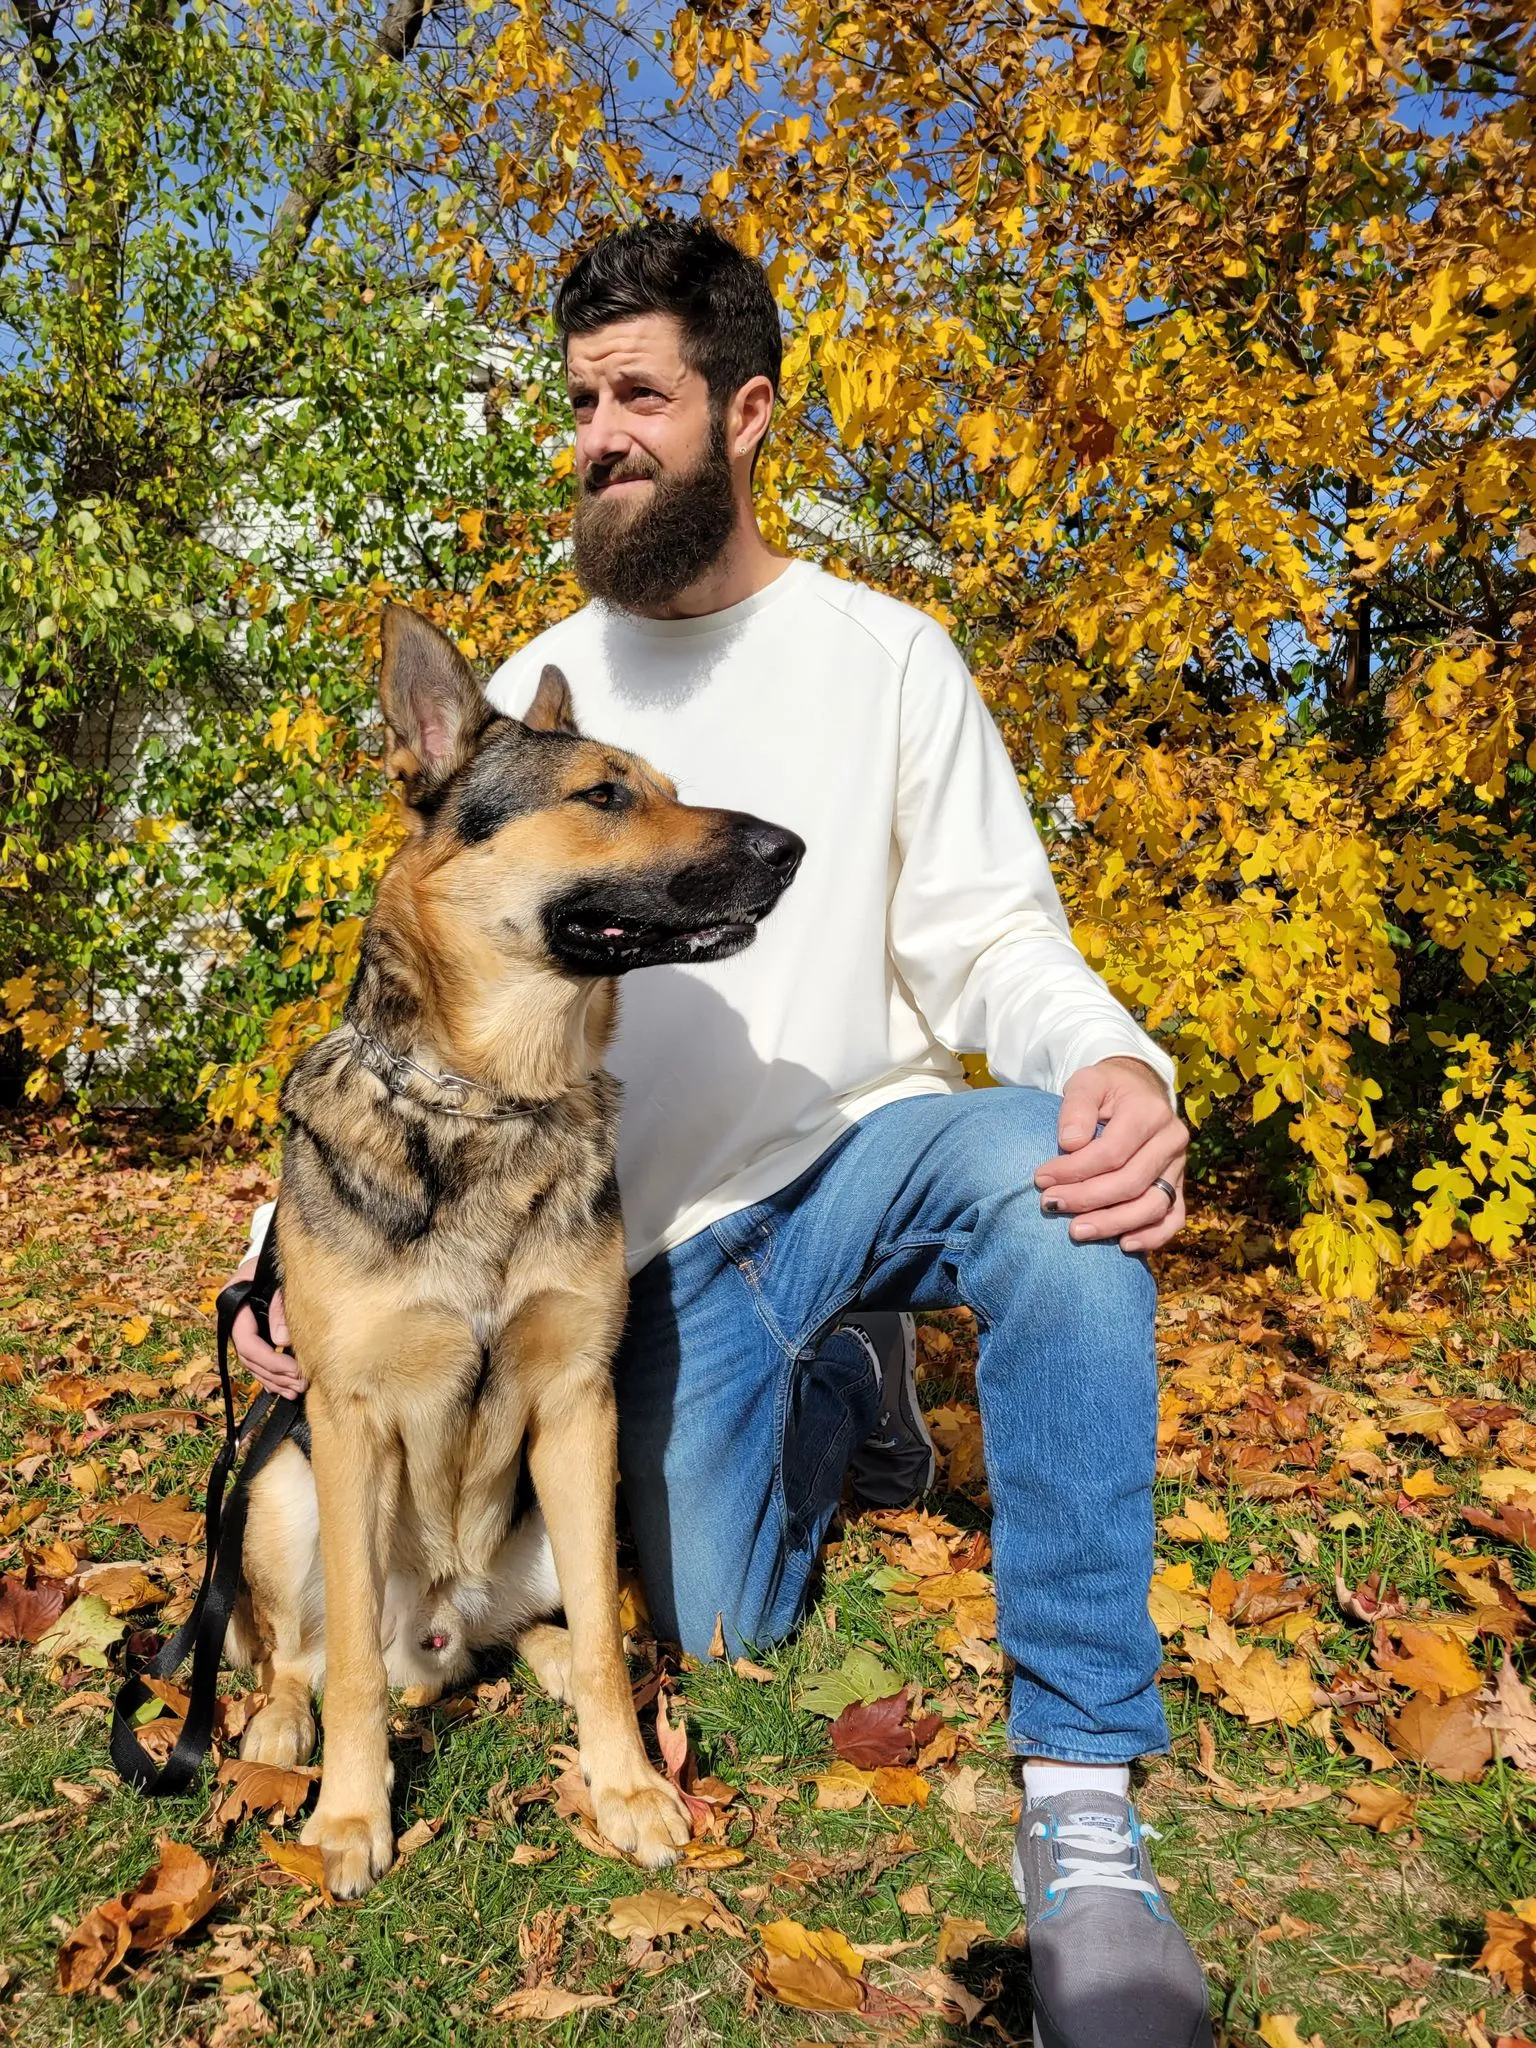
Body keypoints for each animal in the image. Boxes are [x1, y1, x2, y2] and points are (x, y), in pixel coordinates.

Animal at [231, 598, 806, 1892]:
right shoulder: (345, 1413)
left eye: (665, 787)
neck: (493, 1101)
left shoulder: (579, 1402)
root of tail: (438, 1632)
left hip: (549, 1517)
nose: (791, 845)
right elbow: (346, 1669)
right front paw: (351, 1813)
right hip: (283, 1485)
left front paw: (628, 1783)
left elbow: (600, 1635)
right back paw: (281, 1728)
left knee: (550, 1628)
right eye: (603, 794)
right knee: (302, 1652)